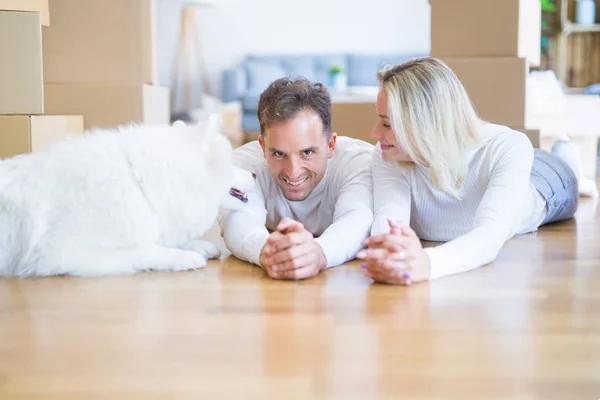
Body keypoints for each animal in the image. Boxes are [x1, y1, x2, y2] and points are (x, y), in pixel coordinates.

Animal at [0, 115, 255, 276]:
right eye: (230, 162)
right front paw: (183, 256)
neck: (139, 184)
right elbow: (143, 250)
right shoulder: (60, 253)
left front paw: (195, 245)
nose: (253, 173)